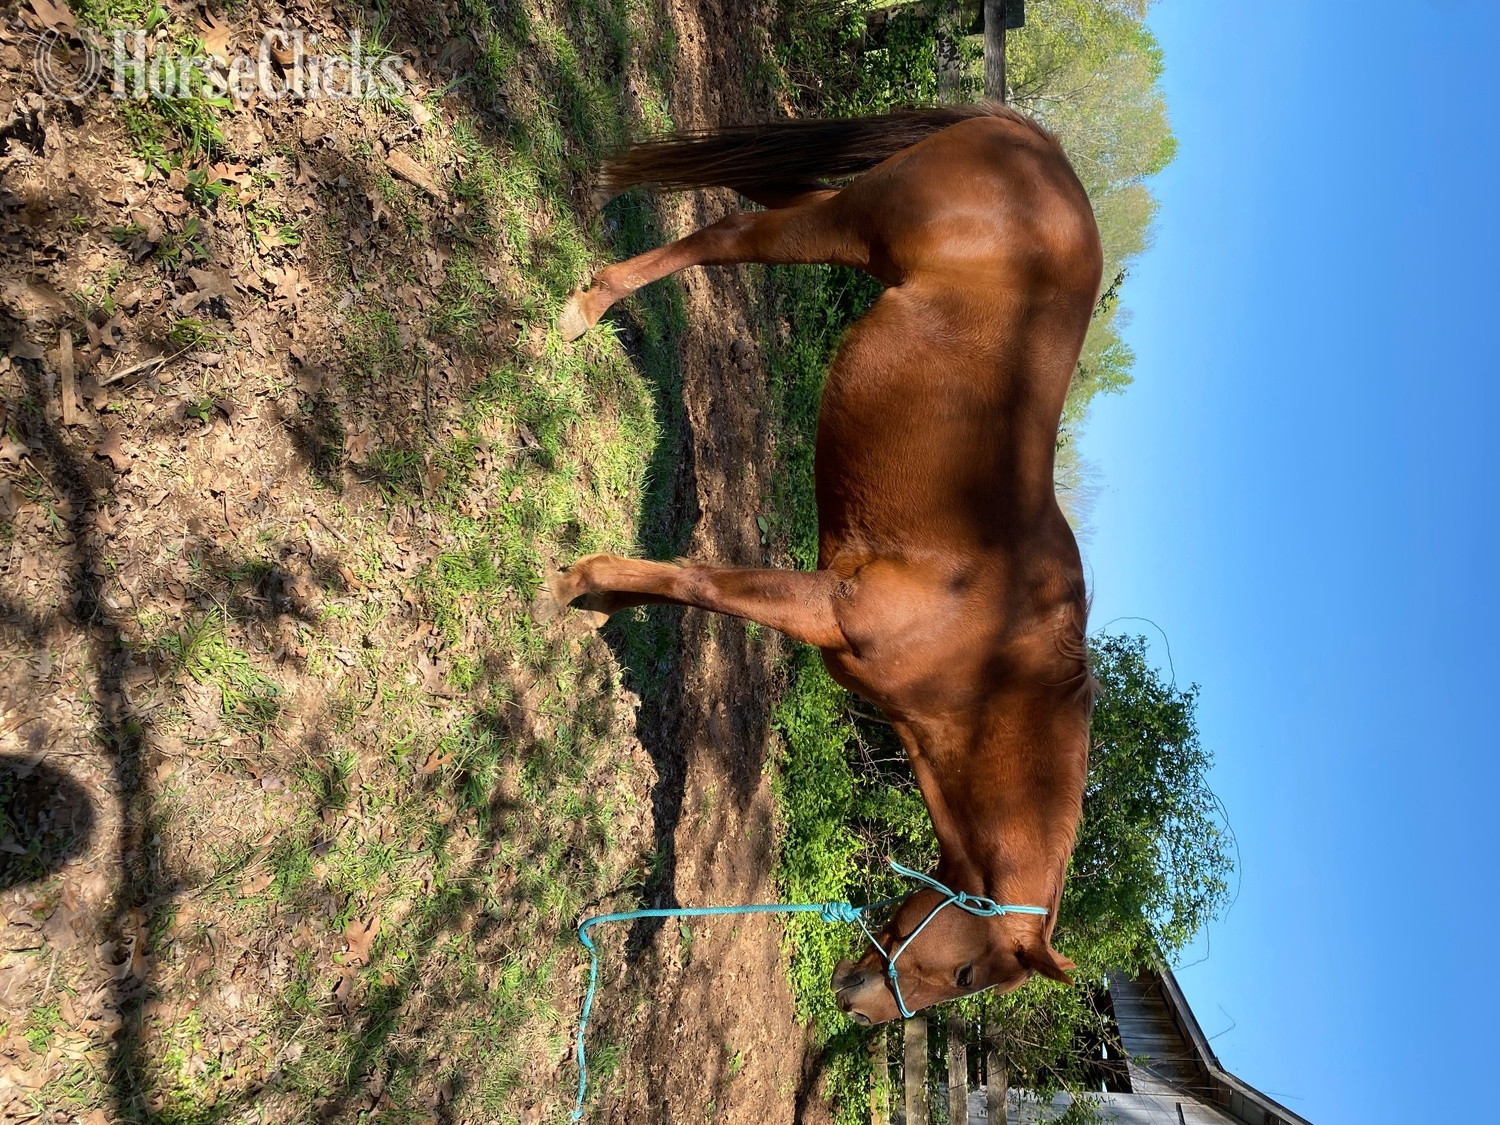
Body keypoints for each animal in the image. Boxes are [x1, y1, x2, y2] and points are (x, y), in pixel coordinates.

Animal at [548, 103, 1101, 1025]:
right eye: (969, 972)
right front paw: (582, 582)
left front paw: (603, 599)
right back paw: (586, 307)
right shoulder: (826, 605)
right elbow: (703, 583)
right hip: (849, 225)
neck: (991, 661)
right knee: (729, 235)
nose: (863, 1009)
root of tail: (1035, 142)